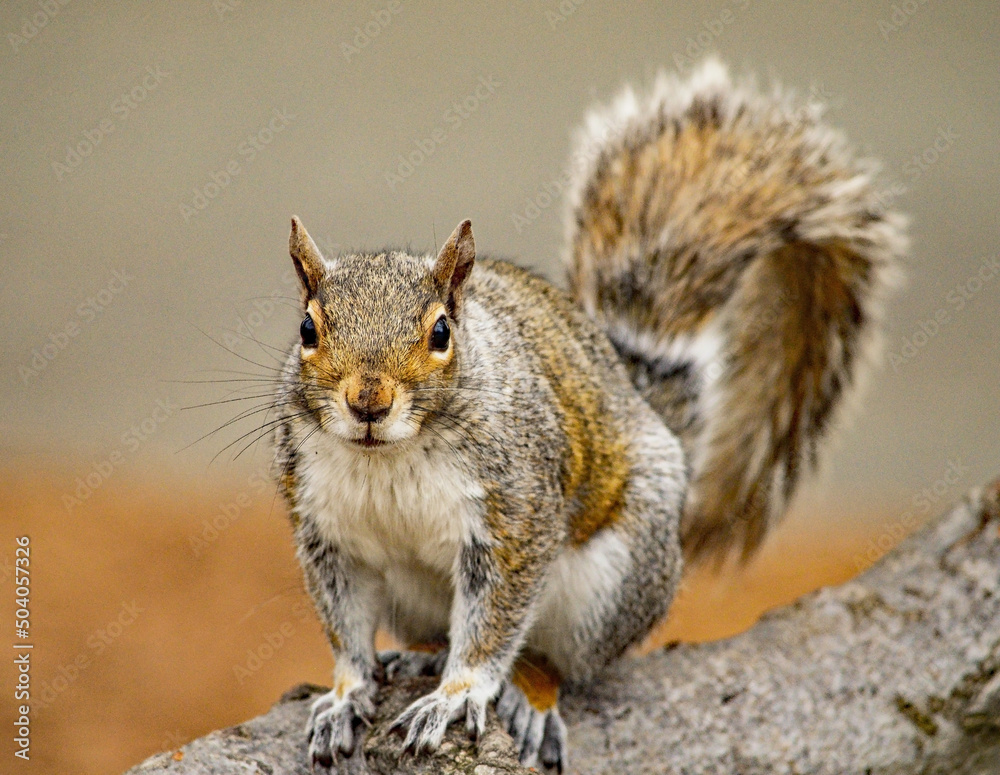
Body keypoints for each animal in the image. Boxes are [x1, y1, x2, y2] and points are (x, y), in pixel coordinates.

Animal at [272, 59, 906, 772]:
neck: (389, 458)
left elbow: (494, 620)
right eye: (307, 329)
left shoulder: (517, 509)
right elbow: (344, 623)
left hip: (613, 583)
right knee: (435, 633)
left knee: (560, 659)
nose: (368, 403)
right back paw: (422, 656)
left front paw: (458, 695)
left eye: (440, 333)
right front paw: (346, 693)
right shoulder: (326, 531)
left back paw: (530, 693)